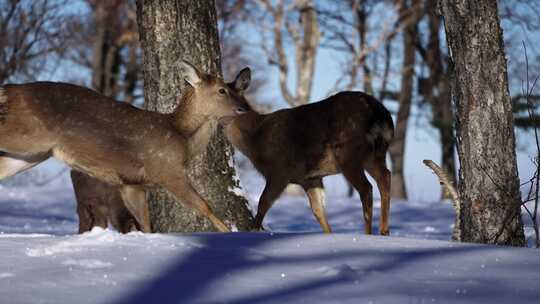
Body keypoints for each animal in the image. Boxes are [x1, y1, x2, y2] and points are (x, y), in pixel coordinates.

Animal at [0, 61, 249, 233]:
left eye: (239, 90)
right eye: (222, 90)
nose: (244, 109)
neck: (183, 137)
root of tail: (8, 91)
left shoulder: (131, 184)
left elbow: (146, 224)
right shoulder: (168, 171)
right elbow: (204, 205)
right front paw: (230, 234)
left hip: (32, 154)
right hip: (26, 134)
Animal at [221, 68, 394, 235]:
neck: (255, 138)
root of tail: (380, 115)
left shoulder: (279, 171)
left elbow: (263, 203)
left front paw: (253, 230)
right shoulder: (309, 178)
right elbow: (318, 210)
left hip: (348, 153)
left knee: (367, 188)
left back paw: (369, 233)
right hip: (376, 154)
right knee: (385, 176)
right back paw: (384, 231)